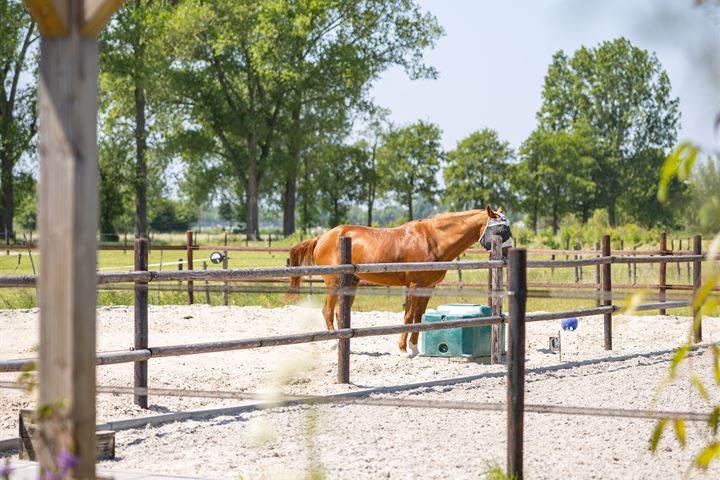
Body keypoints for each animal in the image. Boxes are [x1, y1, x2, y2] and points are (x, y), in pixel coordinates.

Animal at [288, 205, 512, 356]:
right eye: (502, 230)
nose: (508, 255)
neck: (432, 241)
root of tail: (322, 237)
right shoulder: (414, 286)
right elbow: (408, 316)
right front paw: (403, 349)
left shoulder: (428, 287)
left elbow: (419, 316)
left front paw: (413, 347)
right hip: (333, 283)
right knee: (327, 311)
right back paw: (334, 343)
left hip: (350, 283)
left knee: (337, 312)